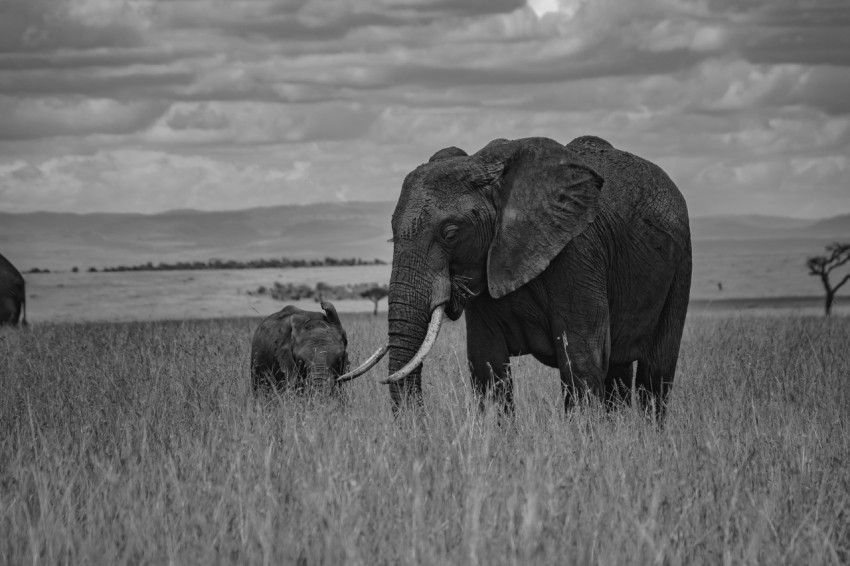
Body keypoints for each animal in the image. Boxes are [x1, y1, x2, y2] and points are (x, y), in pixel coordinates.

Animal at [342, 134, 688, 422]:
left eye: (450, 233)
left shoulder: (579, 252)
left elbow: (580, 360)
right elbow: (487, 364)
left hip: (681, 263)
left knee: (656, 373)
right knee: (619, 373)